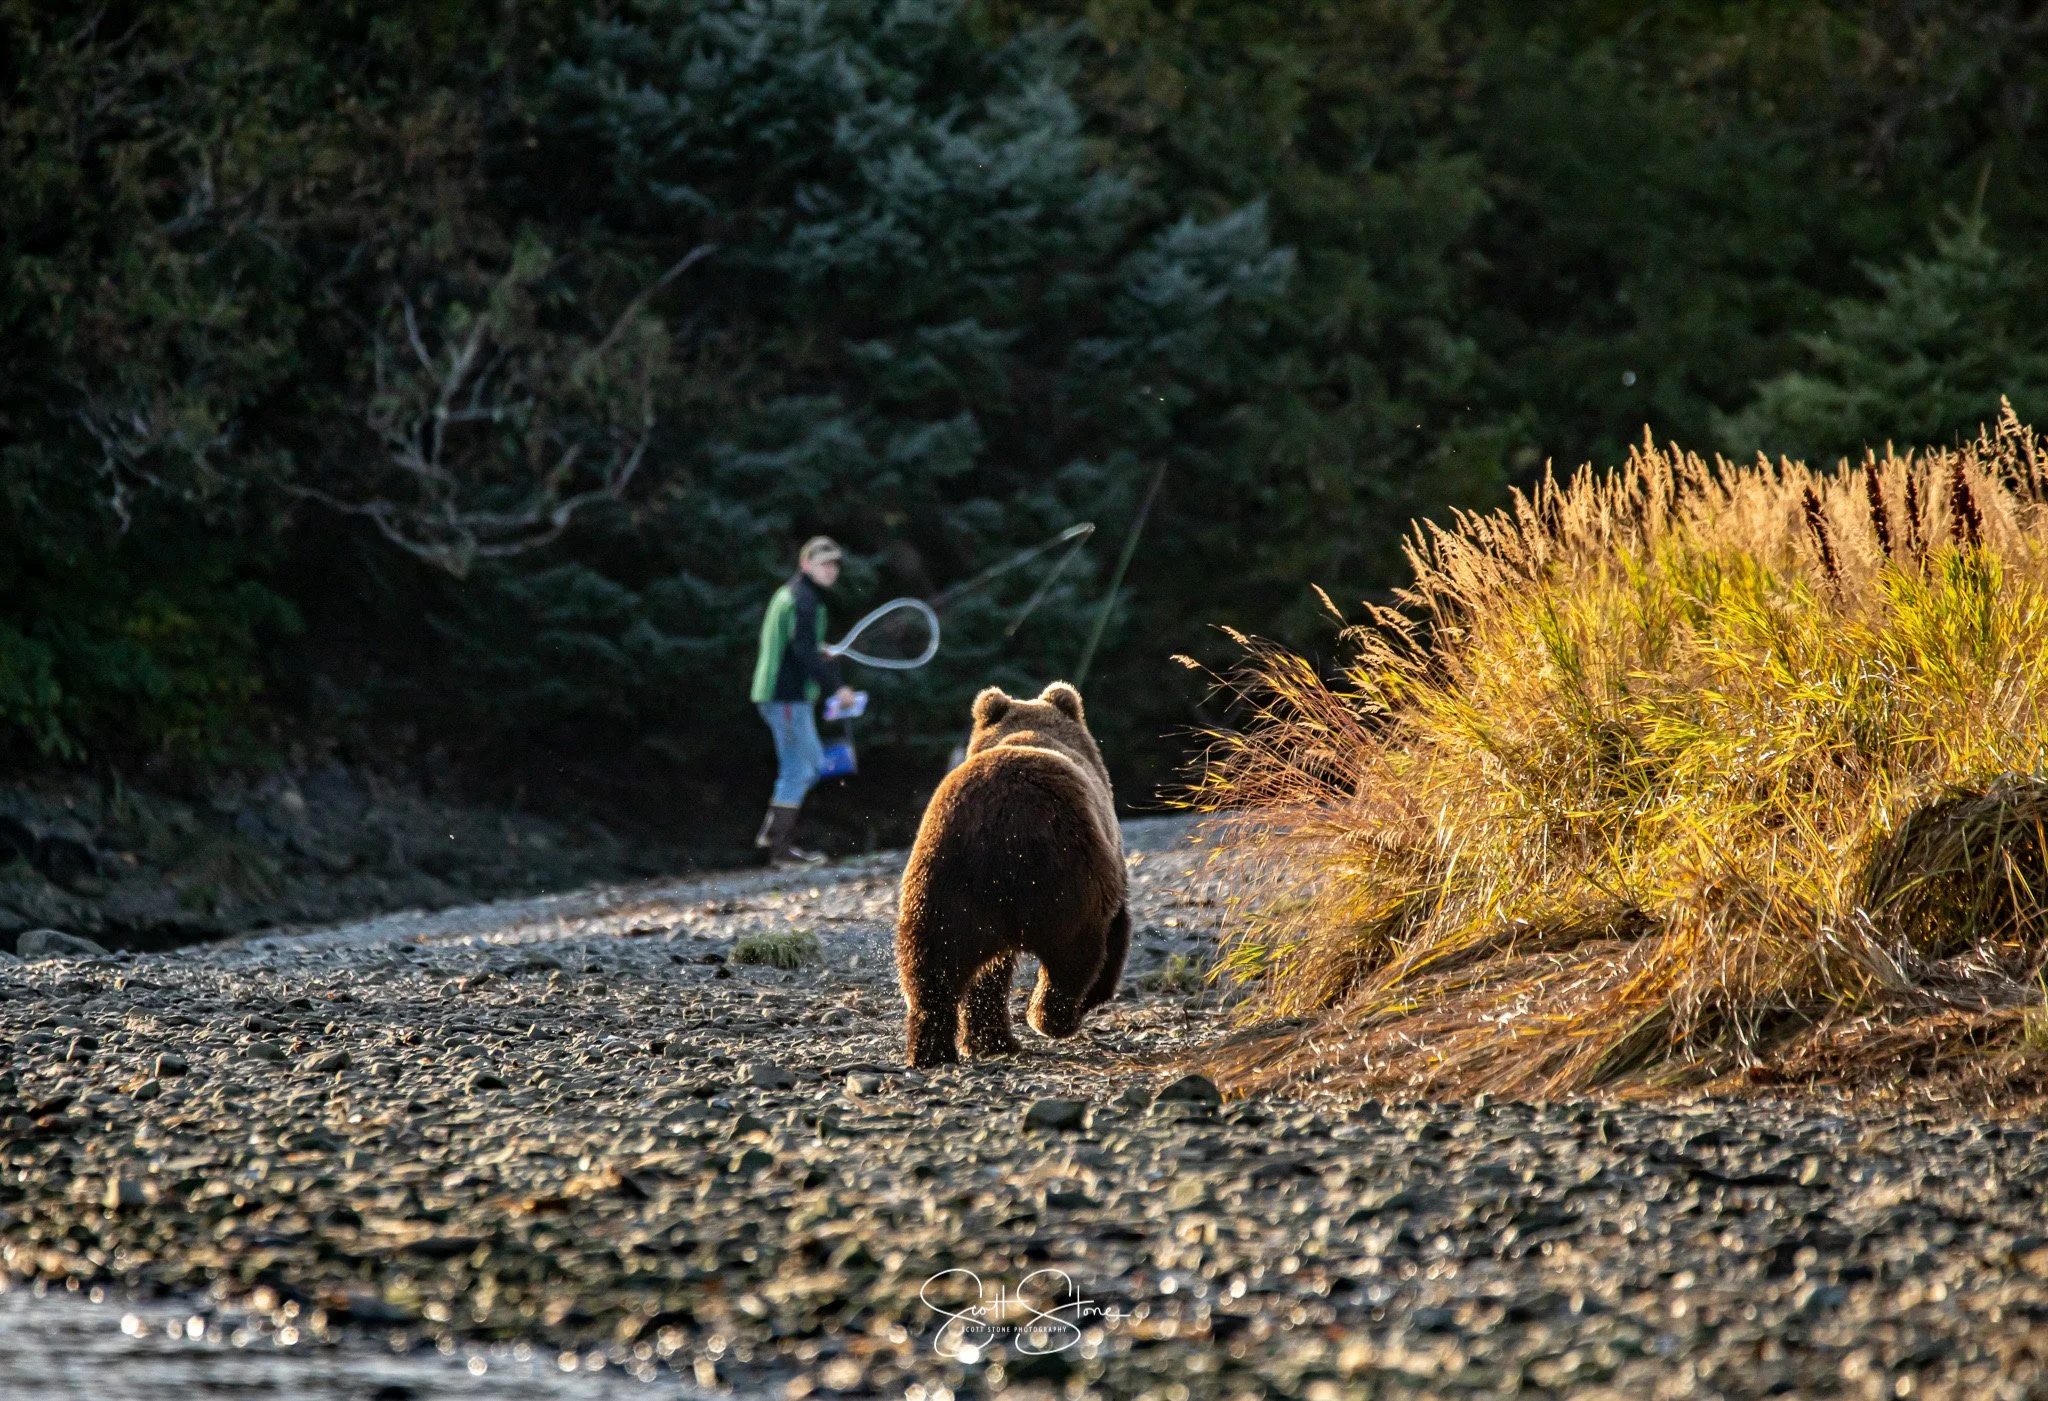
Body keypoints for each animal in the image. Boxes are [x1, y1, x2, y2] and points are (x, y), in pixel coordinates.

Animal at [894, 681, 1130, 1067]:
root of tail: (1005, 828)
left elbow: (988, 973)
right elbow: (1116, 931)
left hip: (944, 880)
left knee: (933, 971)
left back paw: (939, 1051)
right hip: (1069, 875)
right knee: (1075, 953)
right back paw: (1050, 1019)